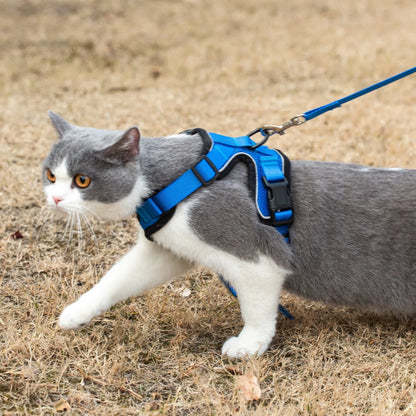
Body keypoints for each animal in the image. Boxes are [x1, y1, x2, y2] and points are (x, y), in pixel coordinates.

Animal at [42, 111, 416, 358]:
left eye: (83, 181)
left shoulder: (248, 248)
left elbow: (257, 306)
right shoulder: (169, 245)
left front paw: (249, 345)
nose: (55, 199)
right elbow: (119, 277)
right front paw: (76, 312)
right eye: (50, 175)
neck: (181, 177)